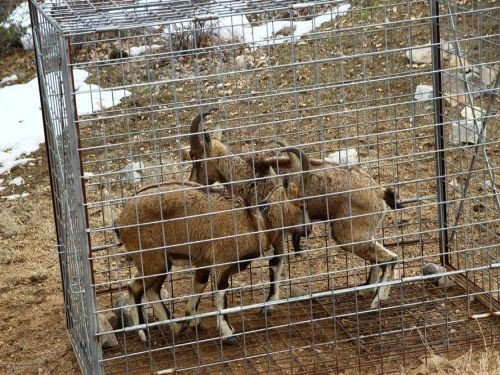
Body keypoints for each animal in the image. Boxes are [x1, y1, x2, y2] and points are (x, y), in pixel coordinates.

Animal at [115, 146, 310, 344]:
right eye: (302, 204)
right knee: (136, 288)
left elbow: (200, 285)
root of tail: (120, 220)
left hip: (157, 262)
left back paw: (176, 326)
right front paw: (229, 333)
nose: (308, 230)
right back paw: (145, 334)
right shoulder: (221, 263)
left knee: (151, 290)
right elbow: (220, 295)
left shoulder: (204, 263)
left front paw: (194, 319)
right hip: (152, 260)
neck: (256, 221)